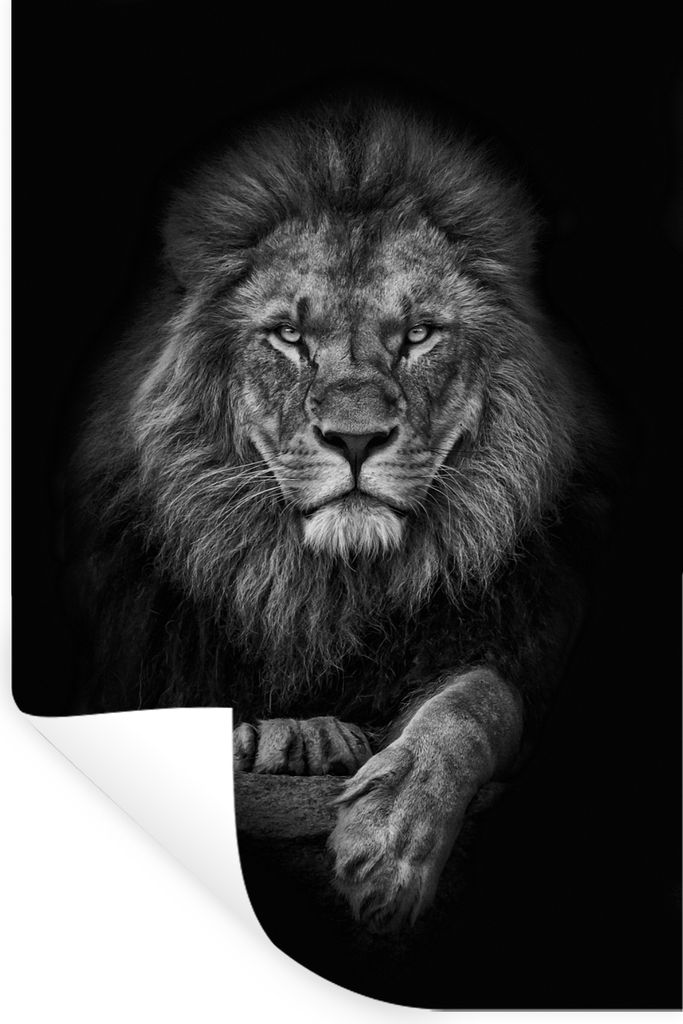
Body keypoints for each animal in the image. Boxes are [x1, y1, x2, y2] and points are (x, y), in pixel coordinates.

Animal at [66, 97, 613, 934]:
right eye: (290, 337)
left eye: (417, 334)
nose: (355, 439)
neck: (326, 588)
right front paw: (290, 736)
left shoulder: (515, 637)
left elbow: (474, 703)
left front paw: (389, 840)